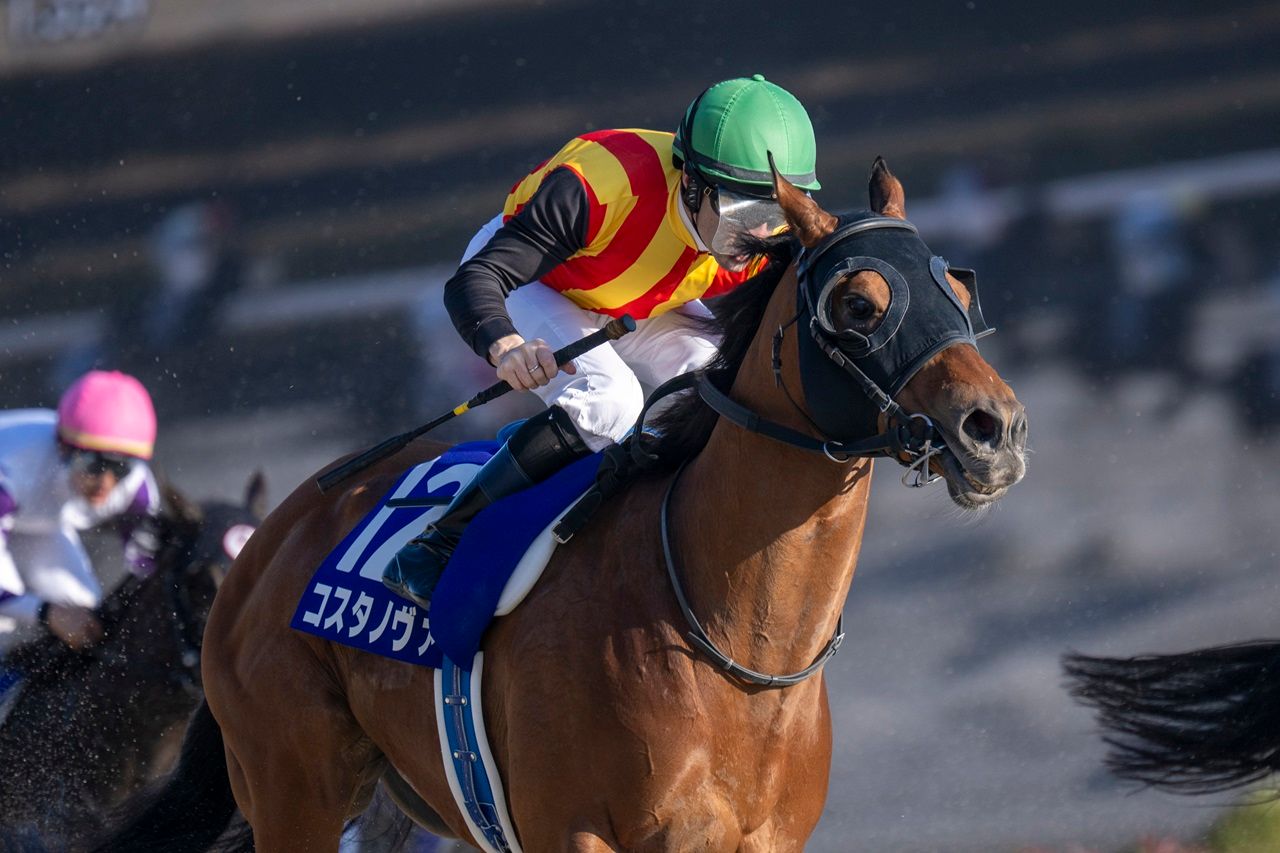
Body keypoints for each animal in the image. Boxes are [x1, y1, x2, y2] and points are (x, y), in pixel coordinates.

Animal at [95, 158, 1027, 852]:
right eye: (860, 304)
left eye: (959, 290)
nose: (995, 429)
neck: (735, 645)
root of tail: (266, 543)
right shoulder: (576, 831)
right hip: (296, 790)